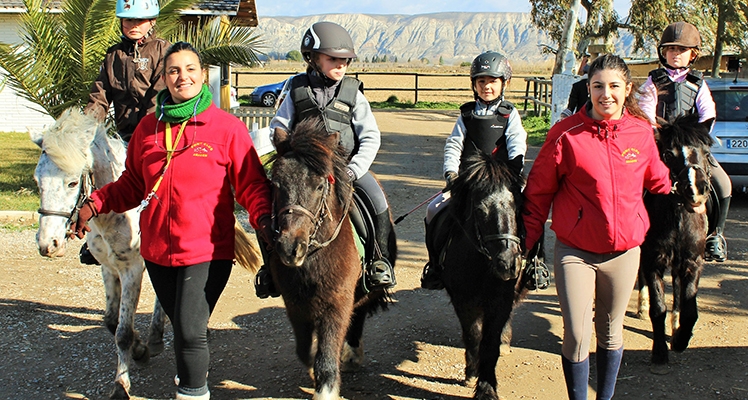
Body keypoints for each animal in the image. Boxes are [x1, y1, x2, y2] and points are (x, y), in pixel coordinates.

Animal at [31, 108, 165, 398]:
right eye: (38, 181)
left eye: (72, 183)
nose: (49, 244)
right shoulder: (108, 268)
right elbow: (111, 322)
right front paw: (140, 349)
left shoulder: (131, 269)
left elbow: (123, 332)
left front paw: (121, 385)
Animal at [267, 117, 394, 399]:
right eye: (276, 184)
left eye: (319, 185)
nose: (290, 248)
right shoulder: (294, 302)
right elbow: (305, 348)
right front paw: (313, 363)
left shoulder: (337, 300)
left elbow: (328, 348)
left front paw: (325, 389)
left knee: (359, 313)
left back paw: (352, 355)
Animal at [431, 151, 526, 399]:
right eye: (480, 211)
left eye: (517, 207)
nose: (508, 264)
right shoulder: (463, 301)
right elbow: (473, 335)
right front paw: (472, 372)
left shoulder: (501, 301)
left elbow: (490, 343)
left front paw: (486, 388)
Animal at [638, 113, 712, 371]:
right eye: (668, 155)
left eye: (706, 152)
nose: (697, 189)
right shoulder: (653, 260)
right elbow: (658, 307)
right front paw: (660, 352)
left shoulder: (692, 261)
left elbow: (690, 308)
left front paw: (680, 339)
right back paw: (641, 306)